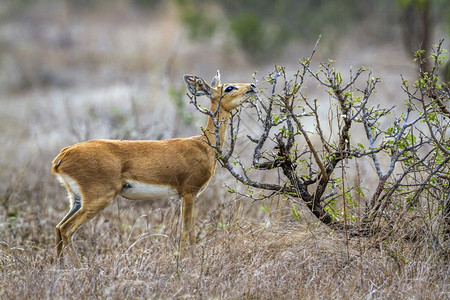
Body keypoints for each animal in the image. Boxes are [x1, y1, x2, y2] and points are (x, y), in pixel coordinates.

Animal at [51, 71, 256, 266]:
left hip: (76, 200)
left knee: (58, 228)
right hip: (98, 198)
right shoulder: (188, 192)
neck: (204, 144)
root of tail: (62, 156)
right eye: (229, 87)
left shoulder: (189, 195)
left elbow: (190, 229)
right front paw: (187, 263)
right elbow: (186, 229)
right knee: (66, 229)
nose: (252, 86)